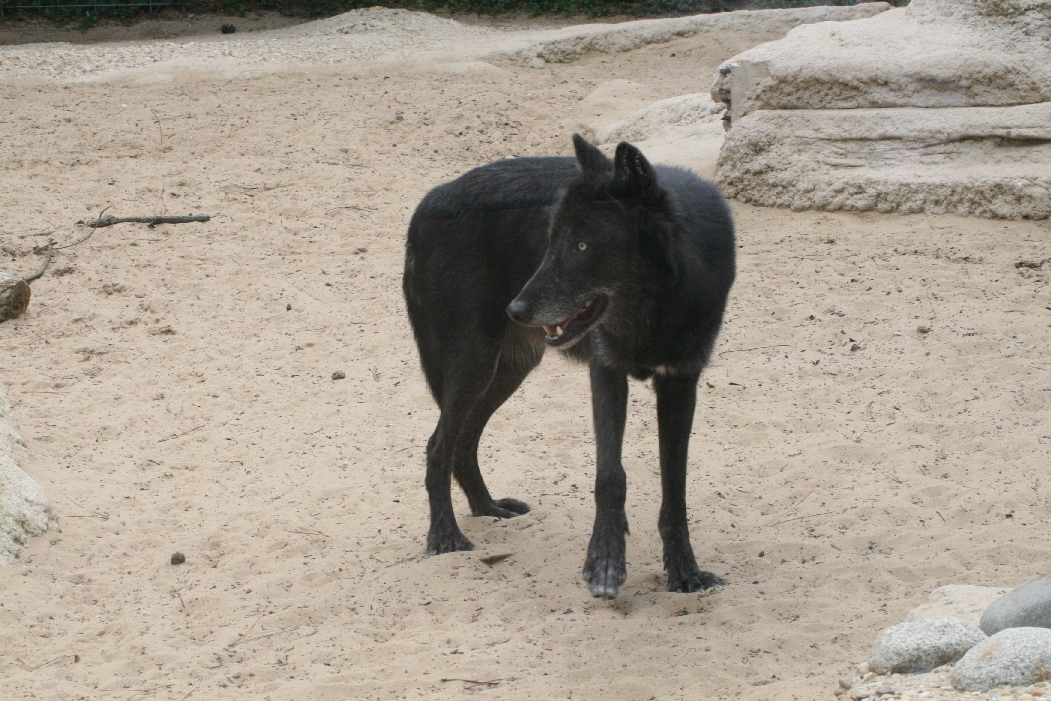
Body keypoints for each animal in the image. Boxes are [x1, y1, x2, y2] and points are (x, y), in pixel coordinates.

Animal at [402, 135, 736, 599]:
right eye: (551, 239)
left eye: (581, 245)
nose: (516, 310)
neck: (655, 311)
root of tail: (427, 202)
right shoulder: (607, 372)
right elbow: (611, 476)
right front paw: (605, 565)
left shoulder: (680, 382)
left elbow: (675, 486)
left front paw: (685, 573)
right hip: (474, 365)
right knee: (438, 445)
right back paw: (445, 537)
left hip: (507, 371)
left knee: (463, 443)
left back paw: (488, 508)